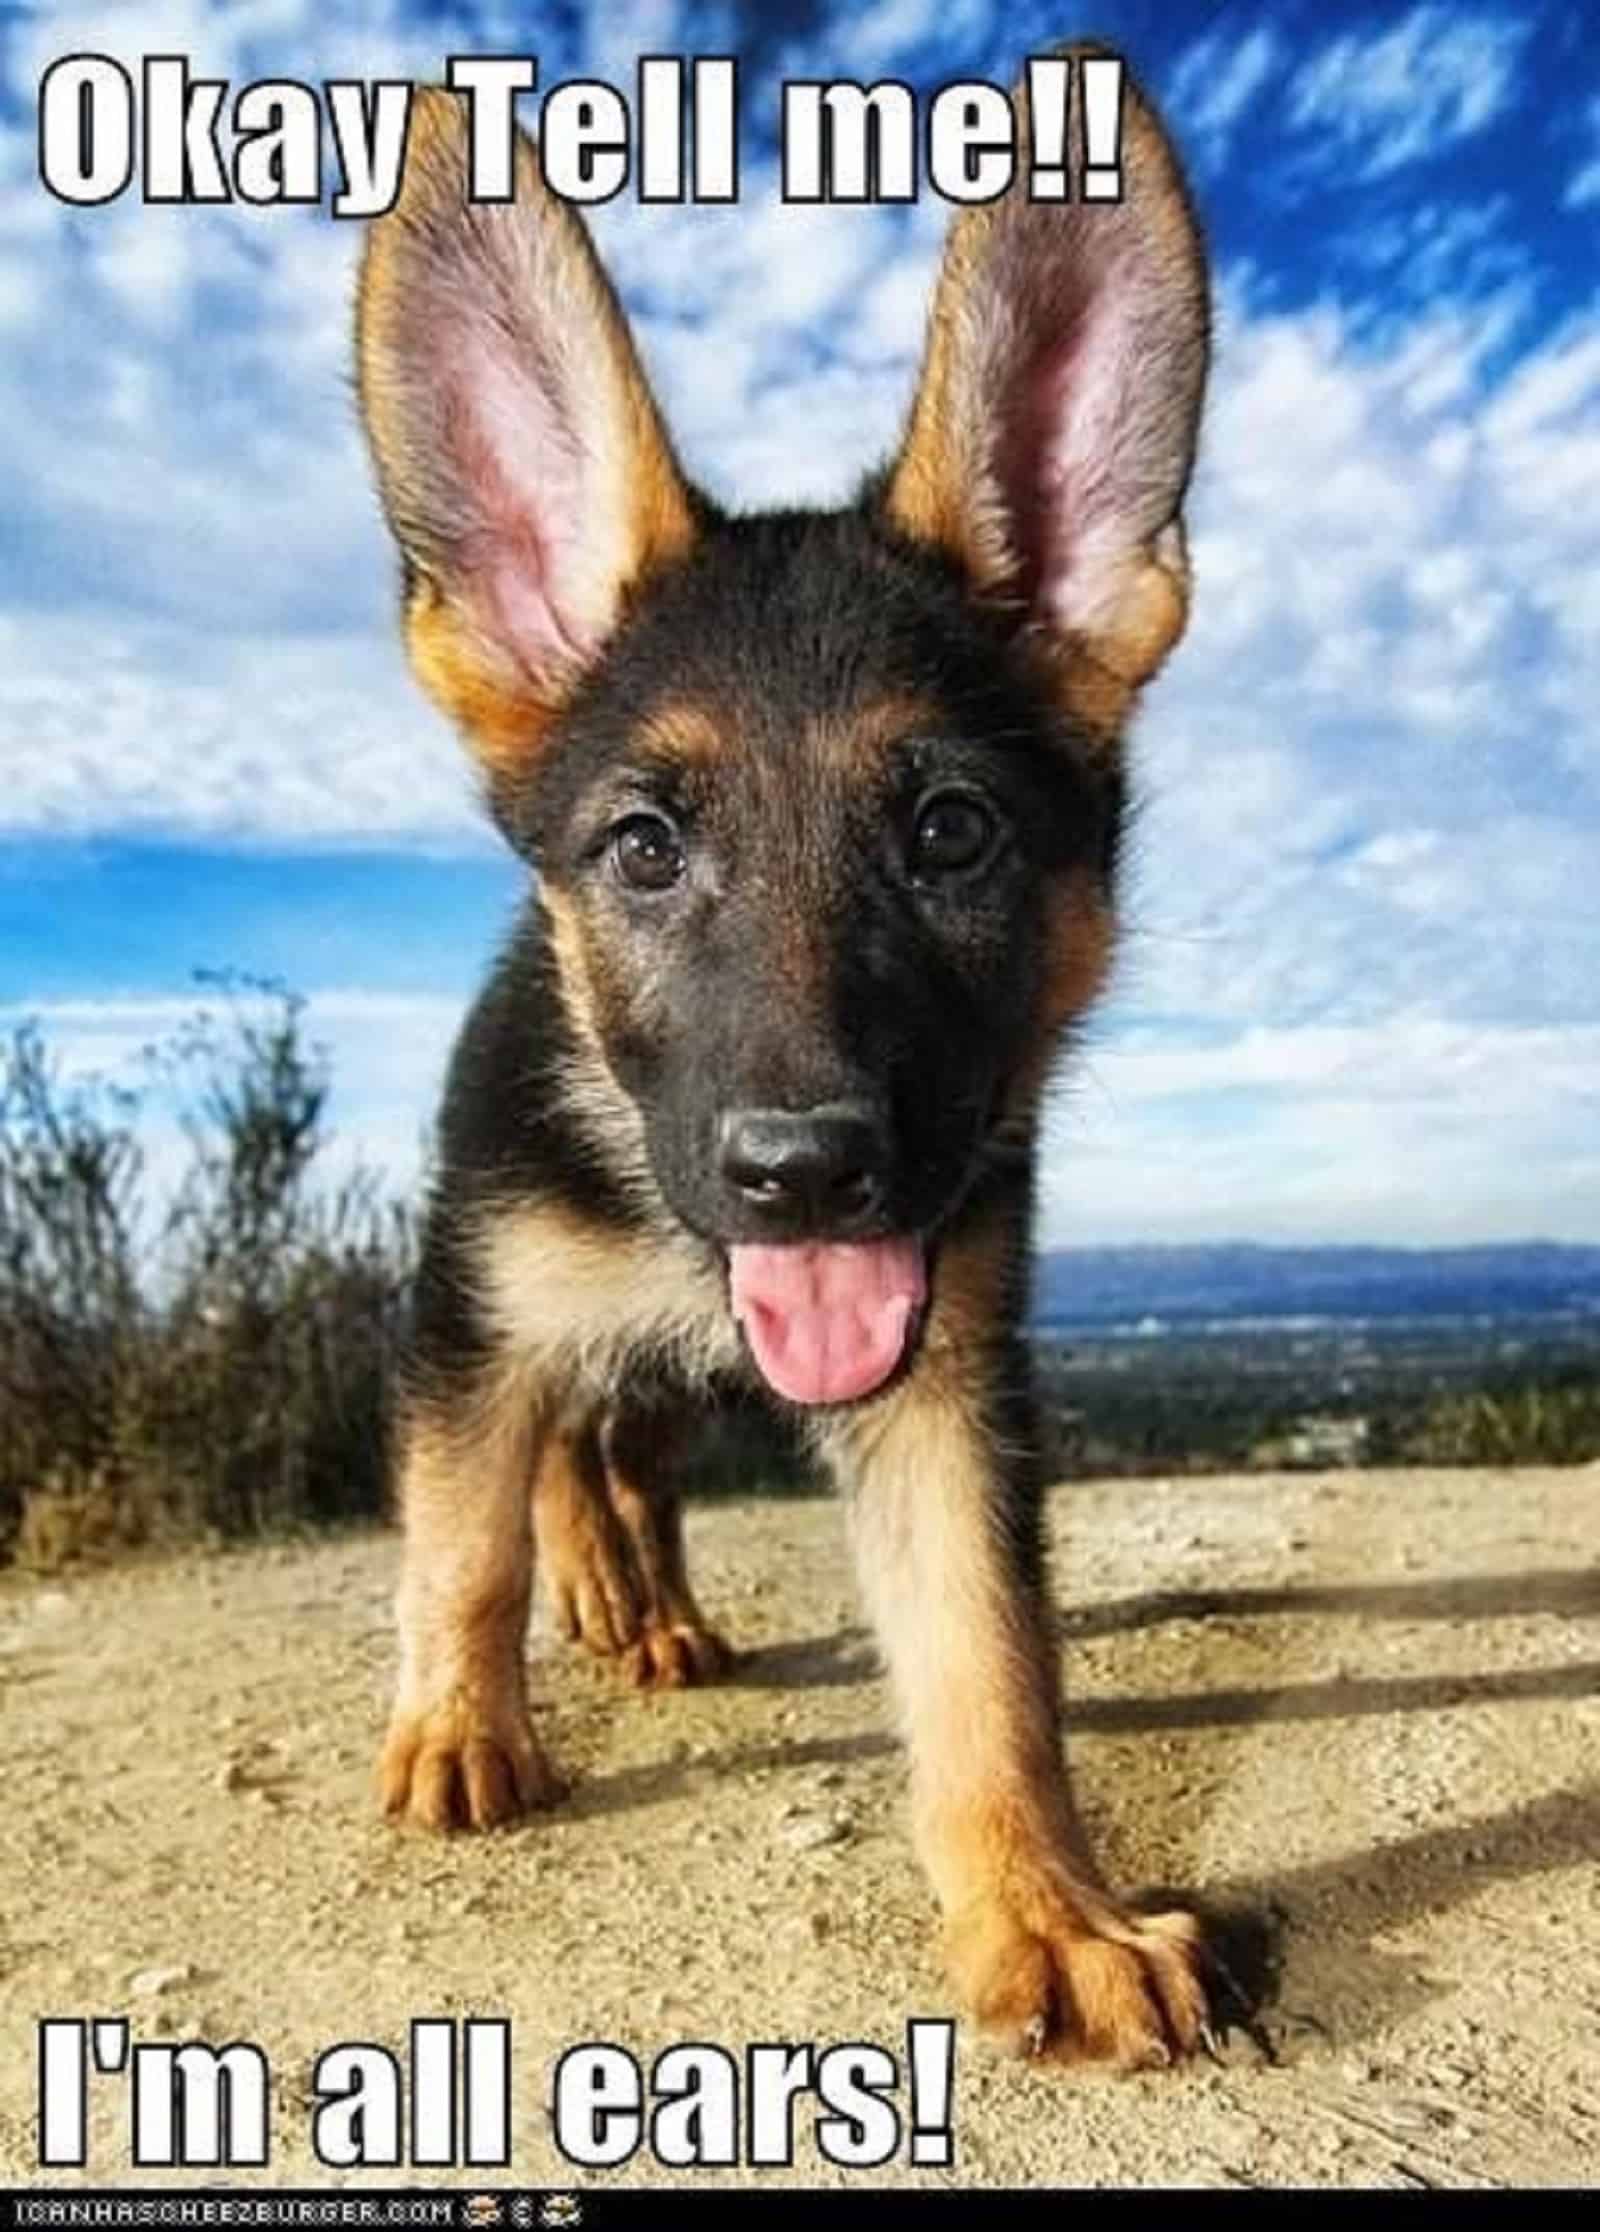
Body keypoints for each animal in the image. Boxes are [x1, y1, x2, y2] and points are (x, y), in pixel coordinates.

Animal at [354, 52, 1213, 2062]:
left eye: (955, 835)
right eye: (645, 847)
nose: (804, 1174)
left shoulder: (943, 1373)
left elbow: (987, 1660)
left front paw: (1046, 1908)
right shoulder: (470, 1305)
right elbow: (463, 1533)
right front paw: (457, 1724)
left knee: (630, 1458)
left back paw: (645, 1597)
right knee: (563, 1455)